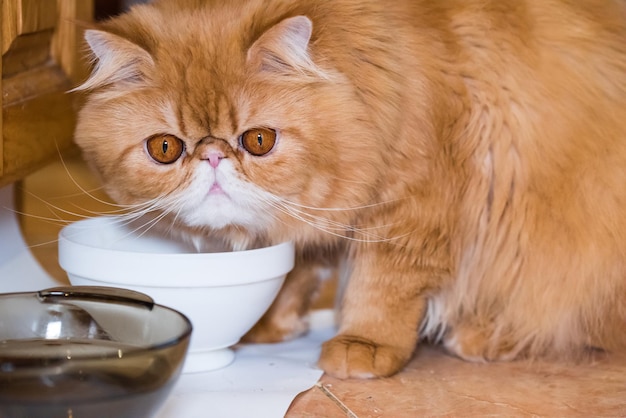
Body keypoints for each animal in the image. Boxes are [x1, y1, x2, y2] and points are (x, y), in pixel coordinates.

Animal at [73, 0, 624, 378]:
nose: (211, 156)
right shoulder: (318, 221)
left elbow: (381, 288)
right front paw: (268, 327)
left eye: (258, 140)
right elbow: (297, 274)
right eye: (165, 148)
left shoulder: (412, 209)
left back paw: (483, 336)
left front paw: (364, 347)